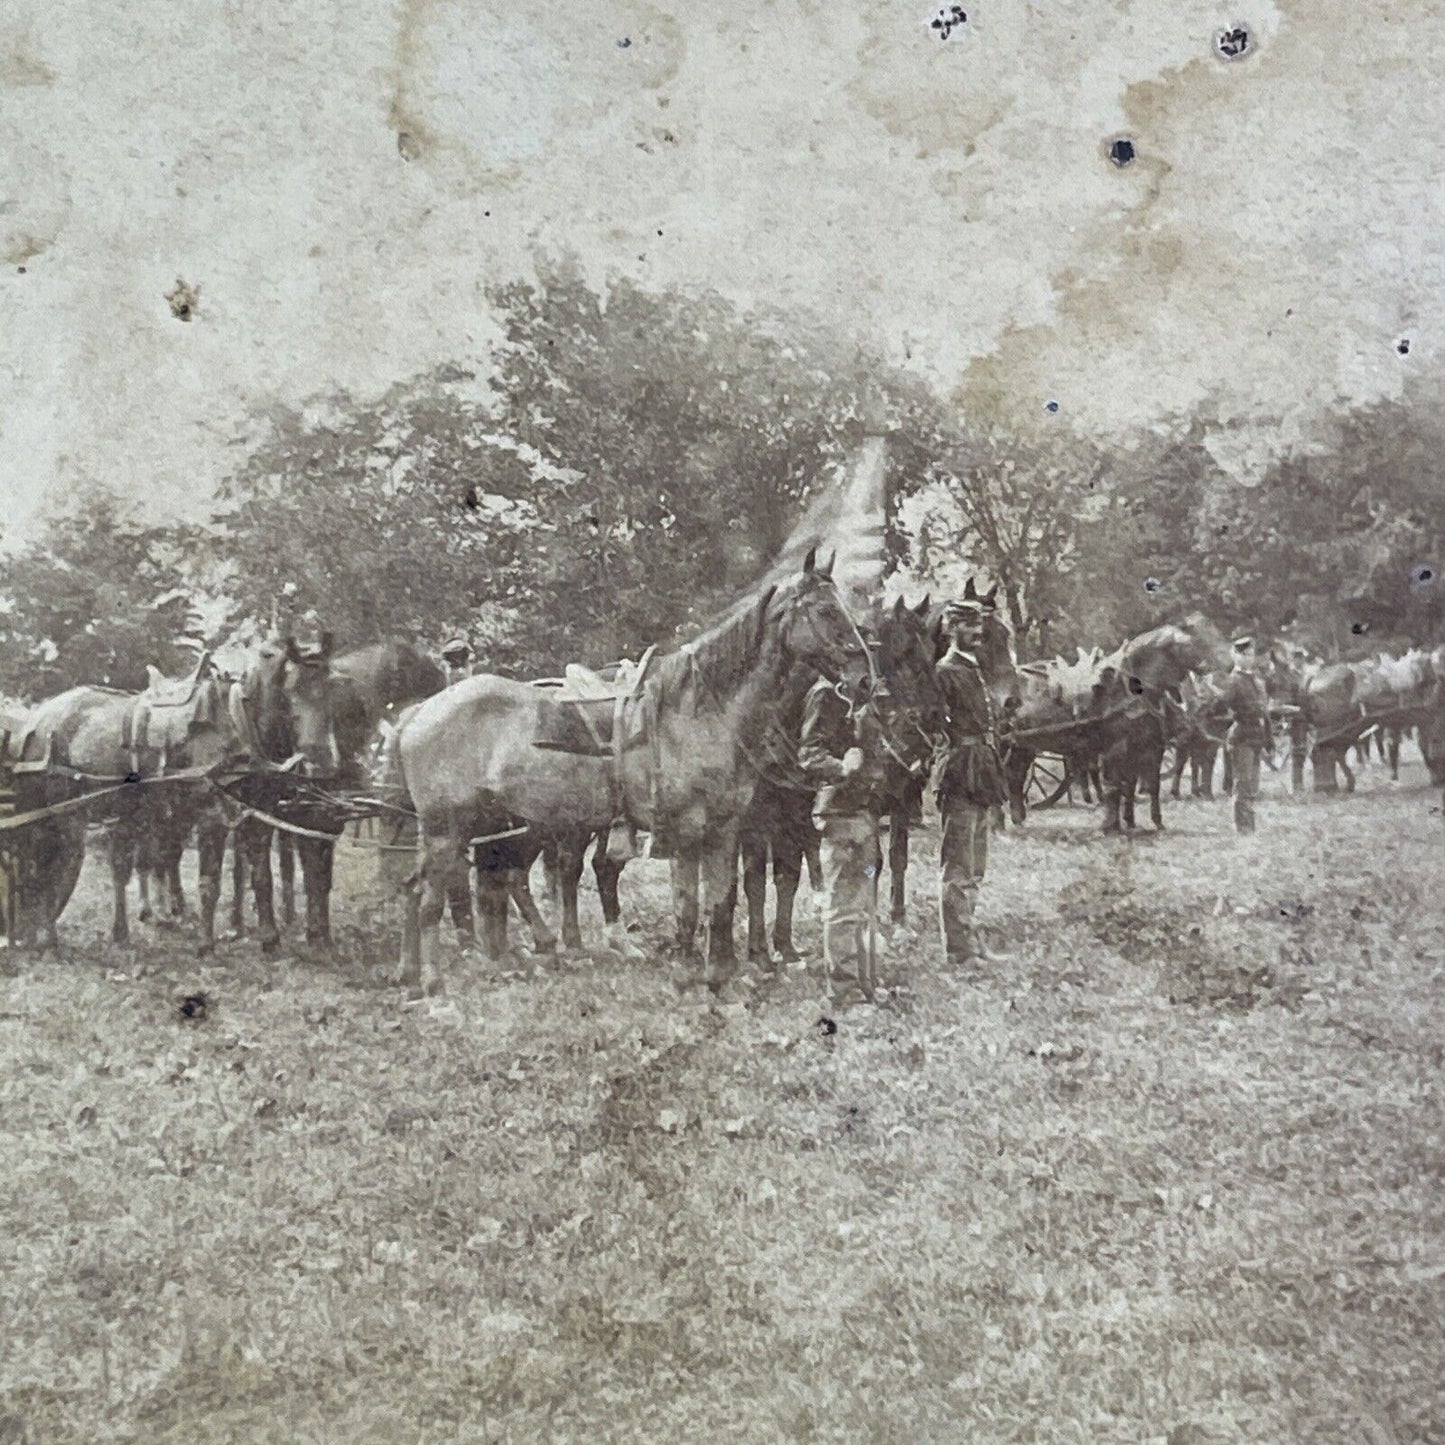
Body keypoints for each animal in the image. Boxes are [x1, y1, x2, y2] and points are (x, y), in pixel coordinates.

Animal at [395, 546, 867, 999]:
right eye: (826, 611)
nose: (864, 678)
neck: (699, 712)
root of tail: (420, 711)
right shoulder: (687, 831)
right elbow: (688, 906)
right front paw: (688, 976)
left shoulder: (725, 828)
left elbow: (722, 901)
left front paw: (722, 978)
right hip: (450, 830)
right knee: (433, 898)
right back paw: (436, 986)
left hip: (497, 825)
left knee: (447, 887)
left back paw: (435, 972)